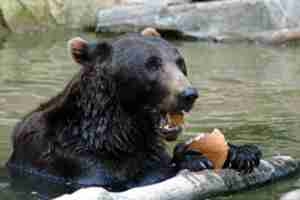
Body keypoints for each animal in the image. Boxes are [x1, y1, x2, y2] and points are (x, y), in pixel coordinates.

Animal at [5, 29, 262, 191]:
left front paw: (243, 153)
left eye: (180, 62)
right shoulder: (73, 159)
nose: (188, 94)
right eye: (152, 64)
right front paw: (192, 158)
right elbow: (134, 178)